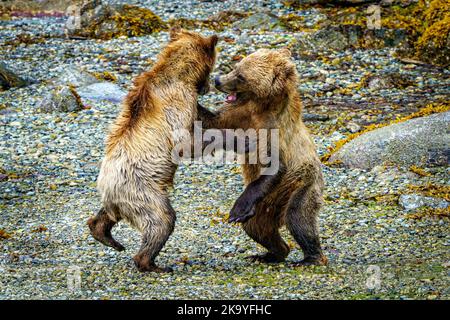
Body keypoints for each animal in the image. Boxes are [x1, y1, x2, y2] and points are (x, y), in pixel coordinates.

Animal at [200, 47, 326, 264]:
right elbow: (213, 121)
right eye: (236, 66)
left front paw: (237, 210)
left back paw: (310, 258)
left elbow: (275, 166)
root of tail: (276, 212)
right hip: (264, 206)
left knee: (298, 216)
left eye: (241, 76)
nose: (217, 80)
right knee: (257, 227)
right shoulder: (241, 113)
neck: (262, 106)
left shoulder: (275, 131)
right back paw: (270, 253)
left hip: (302, 184)